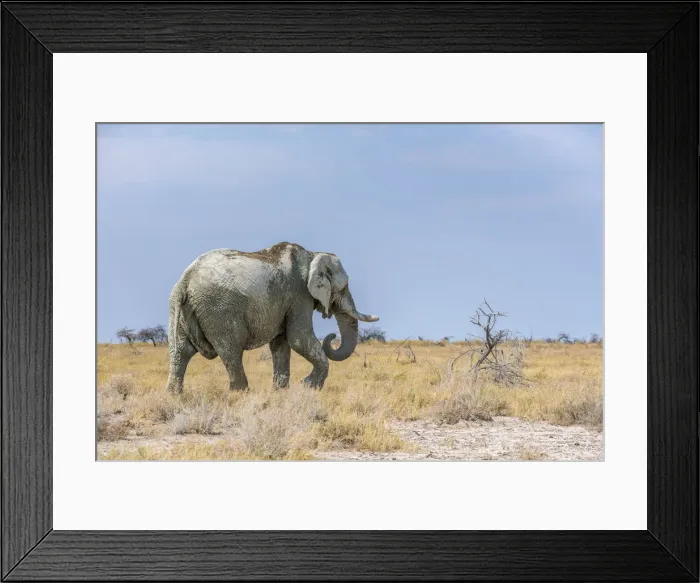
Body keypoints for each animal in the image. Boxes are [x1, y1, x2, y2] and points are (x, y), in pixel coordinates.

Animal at [165, 242, 379, 392]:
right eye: (343, 288)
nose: (332, 336)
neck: (312, 254)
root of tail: (186, 280)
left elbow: (281, 343)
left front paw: (280, 391)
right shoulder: (298, 294)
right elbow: (299, 338)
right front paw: (308, 387)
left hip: (178, 309)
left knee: (180, 351)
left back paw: (174, 395)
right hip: (219, 310)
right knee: (231, 350)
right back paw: (241, 393)